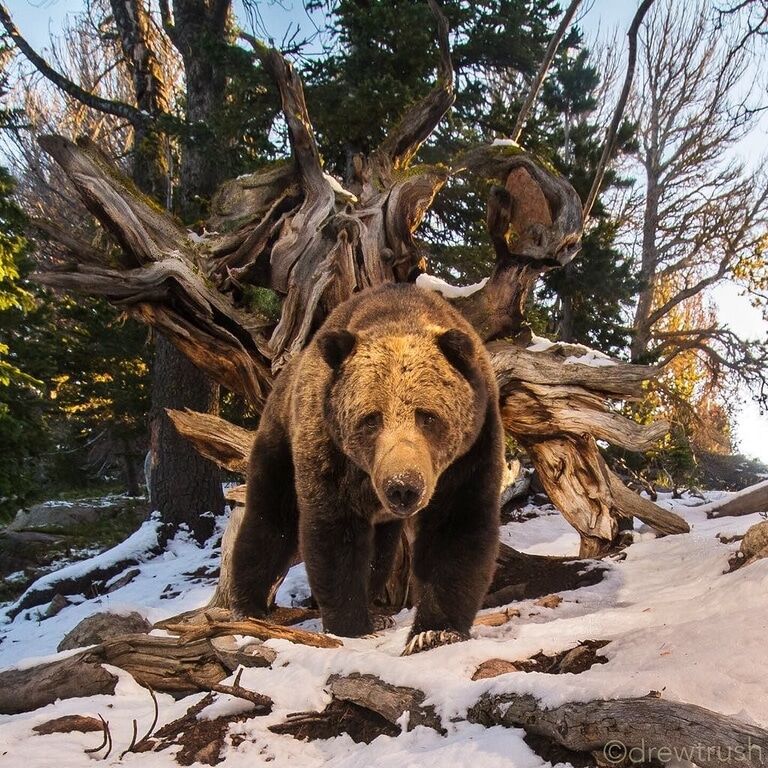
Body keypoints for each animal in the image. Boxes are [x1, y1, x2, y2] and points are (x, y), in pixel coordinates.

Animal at [230, 282, 504, 656]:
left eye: (427, 416)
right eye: (371, 418)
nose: (402, 486)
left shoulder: (470, 454)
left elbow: (456, 530)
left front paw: (434, 632)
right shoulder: (329, 451)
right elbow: (334, 537)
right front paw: (352, 628)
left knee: (381, 552)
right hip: (280, 437)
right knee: (270, 518)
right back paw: (248, 607)